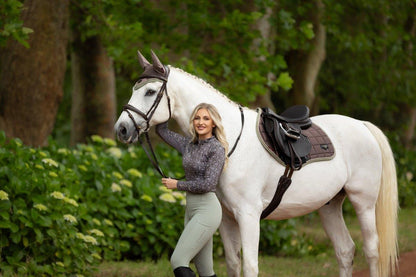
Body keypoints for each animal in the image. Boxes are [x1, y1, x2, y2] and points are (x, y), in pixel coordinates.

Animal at [114, 50, 400, 276]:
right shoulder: (228, 219)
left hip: (363, 202)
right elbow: (233, 264)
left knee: (372, 251)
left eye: (150, 91)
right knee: (345, 251)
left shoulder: (248, 215)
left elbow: (250, 266)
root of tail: (362, 125)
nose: (122, 129)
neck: (228, 141)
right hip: (329, 206)